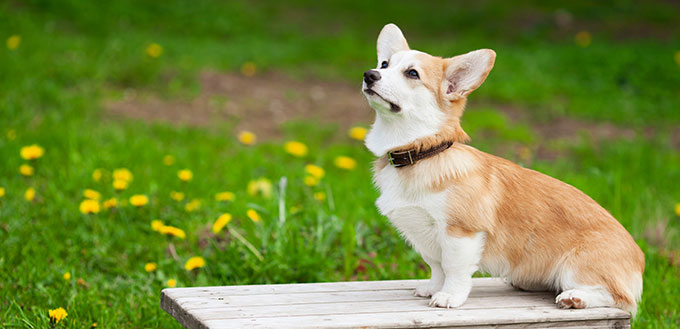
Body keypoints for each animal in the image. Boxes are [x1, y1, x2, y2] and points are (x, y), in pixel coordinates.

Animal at [362, 24, 644, 314]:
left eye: (412, 73)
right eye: (384, 64)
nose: (369, 75)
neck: (422, 152)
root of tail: (640, 259)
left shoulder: (461, 233)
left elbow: (453, 269)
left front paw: (449, 296)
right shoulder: (426, 237)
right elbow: (437, 267)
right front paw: (432, 288)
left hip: (574, 268)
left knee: (622, 298)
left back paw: (576, 298)